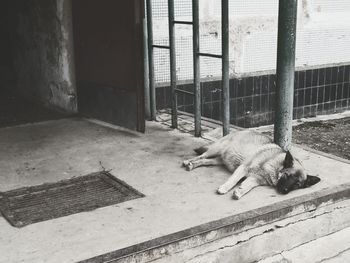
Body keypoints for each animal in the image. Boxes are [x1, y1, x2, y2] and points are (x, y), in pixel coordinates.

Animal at [183, 130, 320, 200]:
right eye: (287, 175)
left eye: (297, 185)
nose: (285, 191)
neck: (273, 163)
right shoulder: (243, 168)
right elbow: (233, 181)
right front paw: (225, 188)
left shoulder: (254, 179)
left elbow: (247, 186)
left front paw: (240, 192)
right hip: (216, 149)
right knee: (201, 156)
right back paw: (188, 162)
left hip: (218, 160)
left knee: (204, 161)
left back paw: (192, 164)